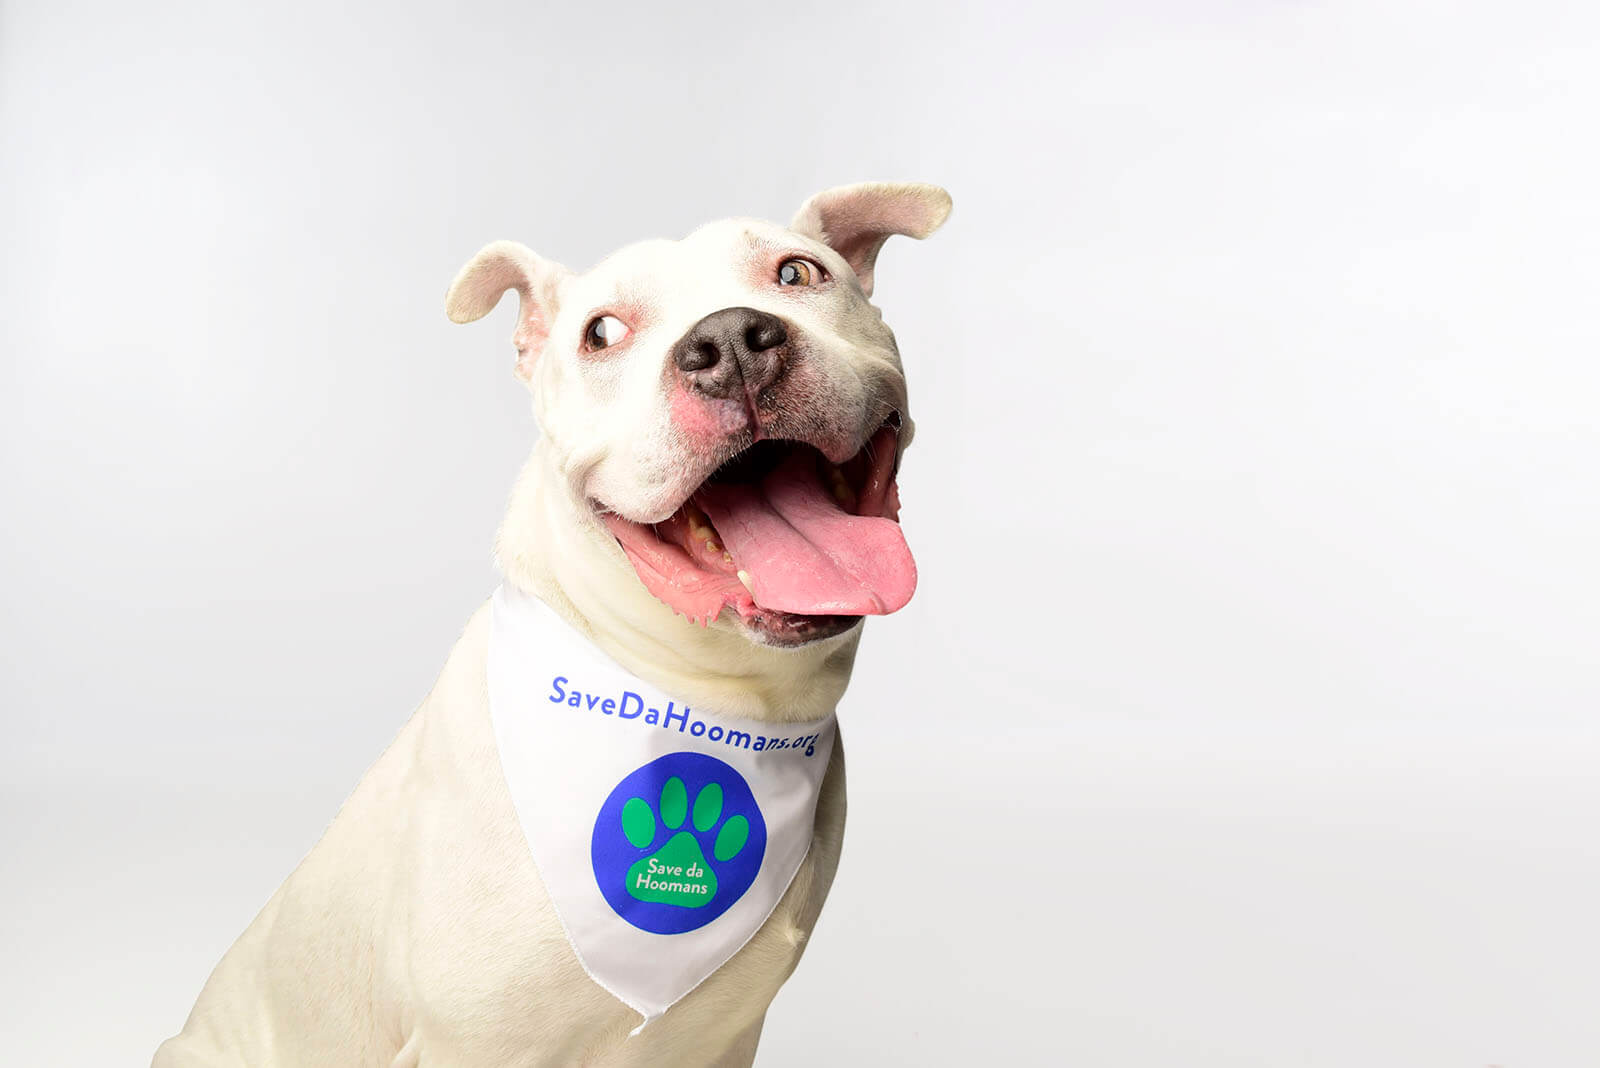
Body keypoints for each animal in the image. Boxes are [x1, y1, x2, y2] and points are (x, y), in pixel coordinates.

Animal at [156, 183, 947, 1068]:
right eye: (601, 333)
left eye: (799, 272)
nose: (731, 342)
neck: (710, 698)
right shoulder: (470, 1042)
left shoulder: (726, 1038)